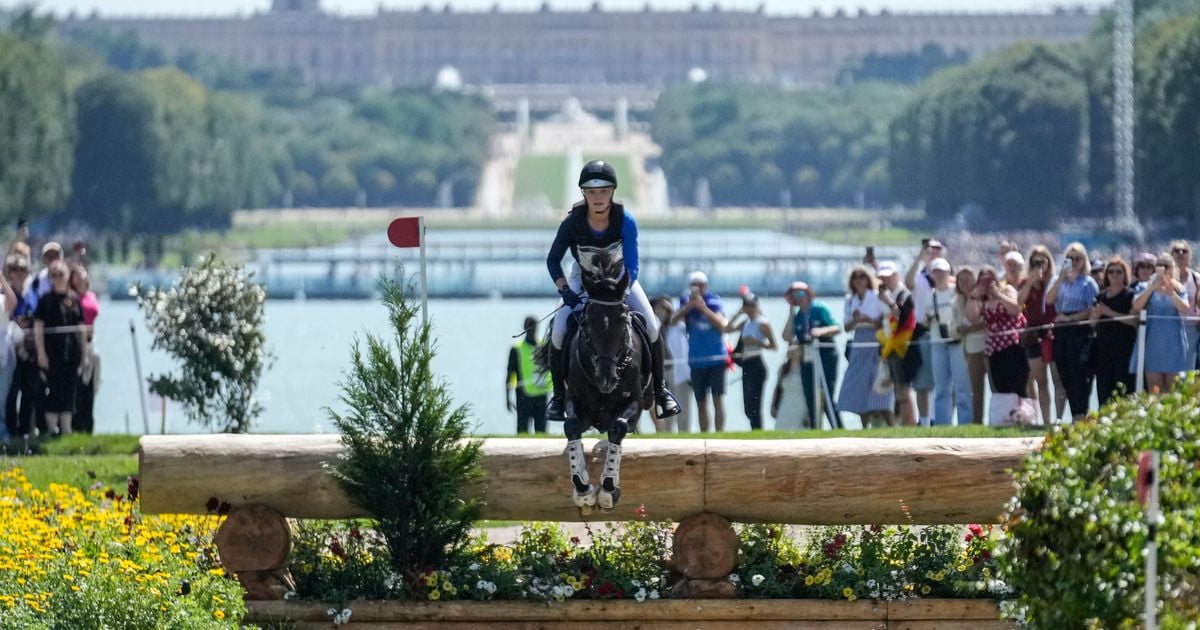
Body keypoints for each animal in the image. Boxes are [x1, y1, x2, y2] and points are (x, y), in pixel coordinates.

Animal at [537, 252, 652, 511]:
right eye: (587, 321)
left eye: (622, 320)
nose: (606, 380)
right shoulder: (578, 404)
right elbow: (571, 427)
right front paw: (583, 487)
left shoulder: (635, 403)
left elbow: (618, 427)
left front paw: (609, 488)